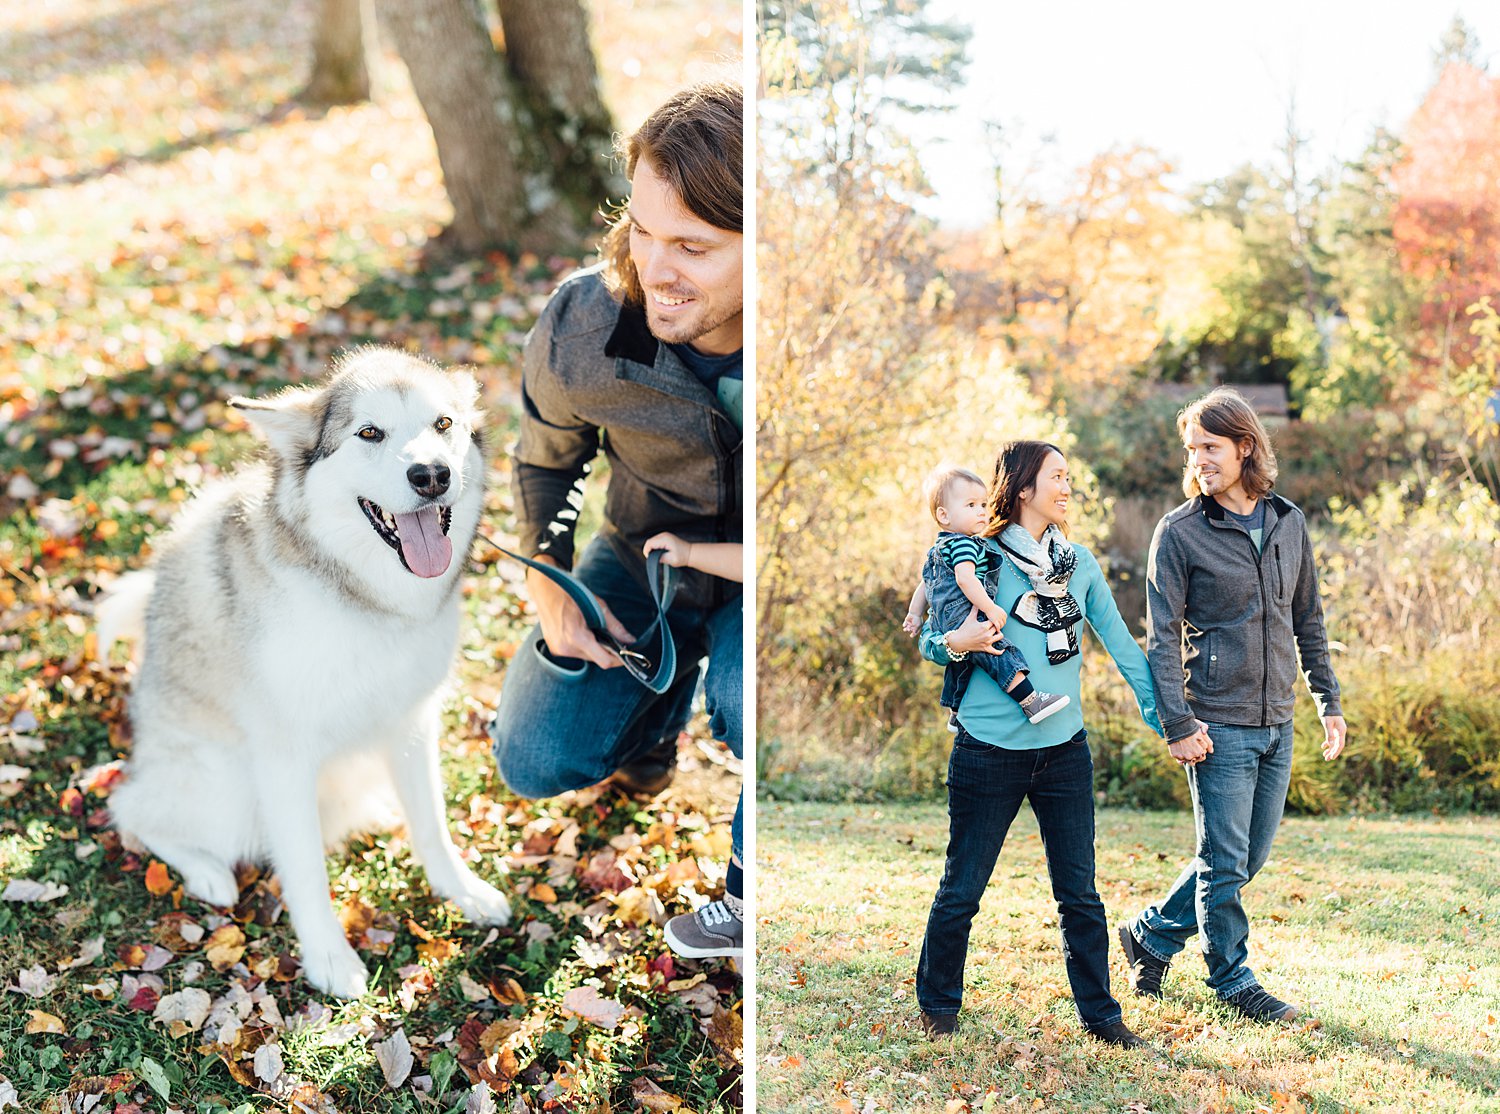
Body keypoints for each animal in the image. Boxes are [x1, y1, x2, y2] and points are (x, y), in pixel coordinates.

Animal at [101, 350, 510, 1001]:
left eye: (443, 423)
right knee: (132, 808)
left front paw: (462, 892)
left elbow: (433, 826)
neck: (365, 599)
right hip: (227, 788)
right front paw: (330, 958)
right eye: (369, 433)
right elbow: (308, 871)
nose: (431, 475)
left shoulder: (412, 724)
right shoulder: (283, 759)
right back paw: (207, 873)